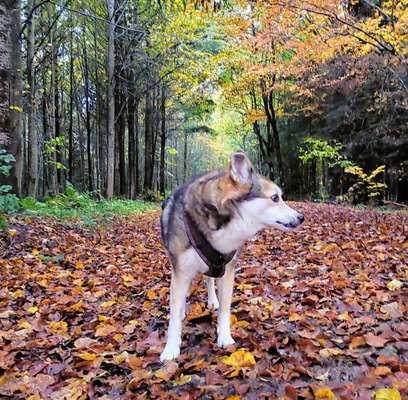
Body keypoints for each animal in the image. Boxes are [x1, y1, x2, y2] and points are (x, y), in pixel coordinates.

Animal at [159, 152, 302, 360]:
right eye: (275, 198)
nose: (301, 217)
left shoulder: (227, 270)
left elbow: (225, 308)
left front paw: (224, 337)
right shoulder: (181, 271)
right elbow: (174, 314)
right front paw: (170, 349)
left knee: (208, 279)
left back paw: (212, 301)